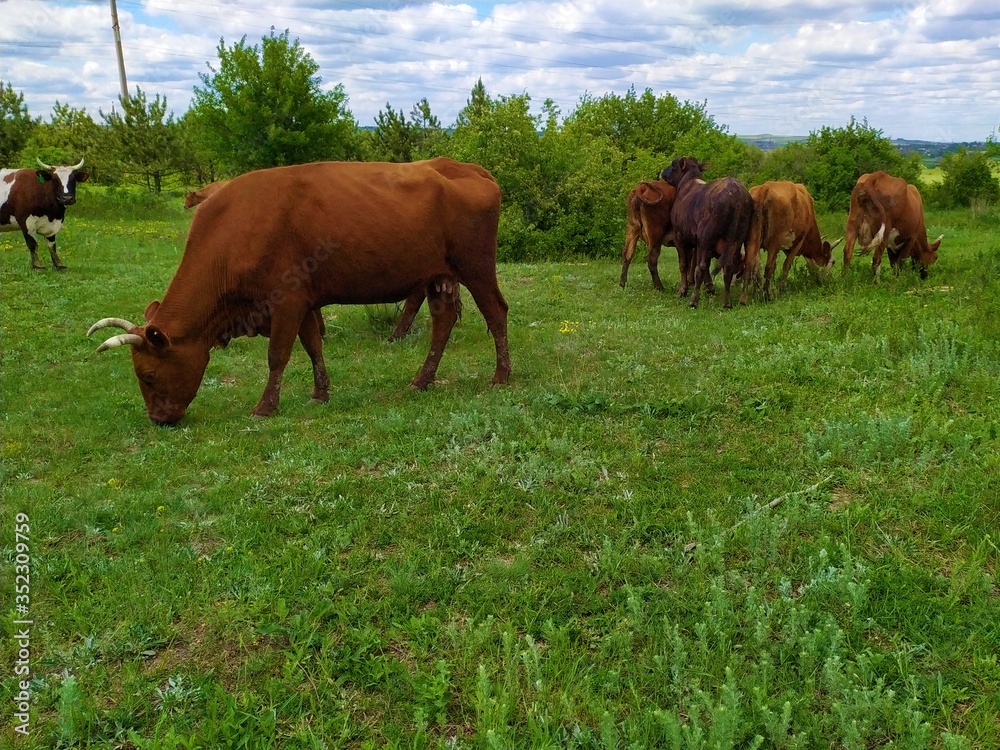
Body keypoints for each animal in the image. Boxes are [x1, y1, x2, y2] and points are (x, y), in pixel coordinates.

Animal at [90, 157, 512, 428]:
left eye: (147, 376)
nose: (158, 420)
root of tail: (469, 168)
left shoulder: (285, 301)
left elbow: (278, 355)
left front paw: (265, 406)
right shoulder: (306, 302)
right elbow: (313, 345)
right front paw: (320, 393)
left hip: (476, 267)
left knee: (496, 312)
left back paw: (501, 377)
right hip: (437, 276)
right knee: (442, 324)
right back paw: (421, 380)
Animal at [656, 157, 756, 310]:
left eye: (673, 165)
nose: (662, 172)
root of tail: (736, 193)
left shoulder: (680, 237)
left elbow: (684, 264)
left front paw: (682, 290)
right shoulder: (698, 242)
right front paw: (709, 287)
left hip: (706, 236)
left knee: (701, 267)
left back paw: (693, 300)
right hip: (736, 238)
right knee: (728, 266)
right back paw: (727, 302)